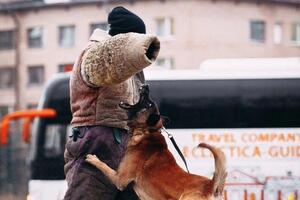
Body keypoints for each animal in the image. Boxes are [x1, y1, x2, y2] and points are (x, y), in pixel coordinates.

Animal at [86, 85, 227, 199]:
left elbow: (104, 166)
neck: (148, 131)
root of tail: (211, 186)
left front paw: (93, 159)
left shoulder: (120, 179)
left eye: (148, 104)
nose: (146, 86)